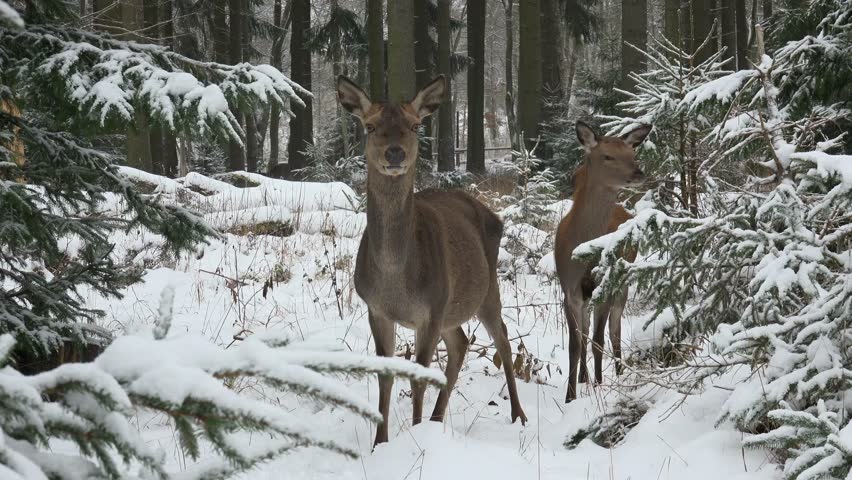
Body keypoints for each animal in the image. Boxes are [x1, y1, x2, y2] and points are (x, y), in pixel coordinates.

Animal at [336, 75, 527, 446]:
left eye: (414, 125)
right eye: (370, 126)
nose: (395, 153)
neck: (395, 278)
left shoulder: (430, 310)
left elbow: (419, 378)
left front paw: (414, 435)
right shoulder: (377, 309)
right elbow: (386, 376)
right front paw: (380, 443)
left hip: (483, 290)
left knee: (502, 338)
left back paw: (518, 415)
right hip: (453, 307)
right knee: (461, 343)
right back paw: (437, 419)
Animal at [555, 121, 651, 403]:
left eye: (632, 154)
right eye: (607, 156)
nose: (639, 173)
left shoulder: (605, 286)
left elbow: (599, 339)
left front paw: (598, 386)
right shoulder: (570, 290)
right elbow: (575, 344)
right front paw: (571, 395)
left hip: (622, 281)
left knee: (614, 330)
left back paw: (617, 372)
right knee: (587, 333)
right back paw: (583, 377)